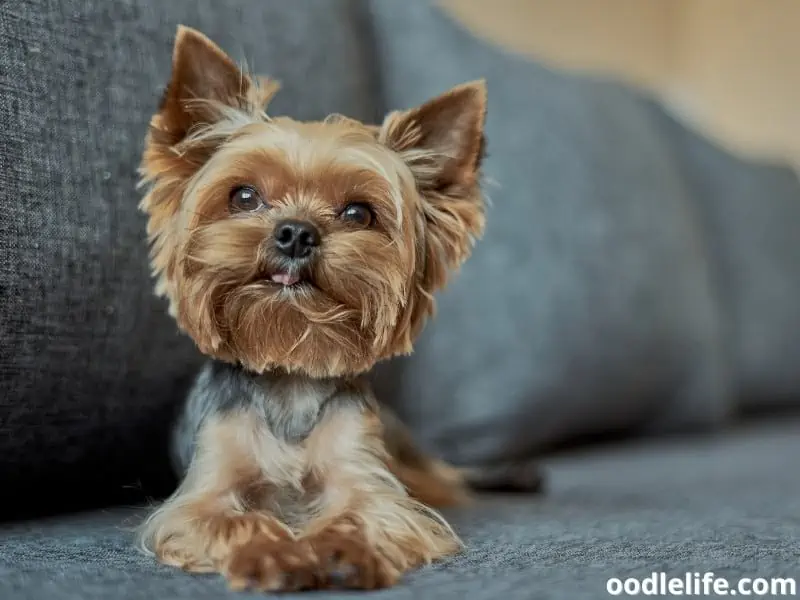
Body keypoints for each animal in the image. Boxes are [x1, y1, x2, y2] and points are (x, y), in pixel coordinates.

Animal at [134, 27, 516, 592]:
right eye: (244, 197)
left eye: (358, 213)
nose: (295, 232)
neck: (291, 376)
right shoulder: (202, 492)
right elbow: (235, 518)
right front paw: (275, 554)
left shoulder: (367, 479)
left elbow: (365, 511)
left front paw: (342, 550)